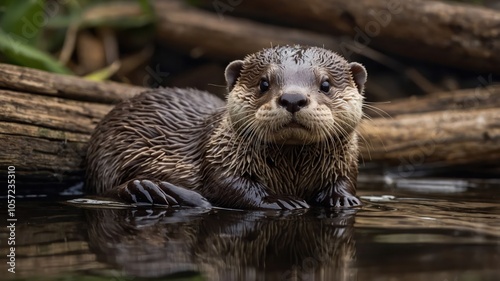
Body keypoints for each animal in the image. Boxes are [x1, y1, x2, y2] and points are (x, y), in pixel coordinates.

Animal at [86, 44, 368, 209]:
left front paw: (342, 198)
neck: (292, 171)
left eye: (326, 84)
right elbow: (230, 186)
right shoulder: (219, 158)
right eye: (263, 83)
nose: (293, 98)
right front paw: (280, 200)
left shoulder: (346, 164)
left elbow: (346, 181)